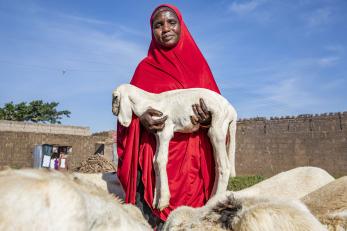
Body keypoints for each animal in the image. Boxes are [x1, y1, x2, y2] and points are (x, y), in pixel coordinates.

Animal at [113, 83, 238, 211]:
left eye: (115, 97)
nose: (113, 111)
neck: (148, 101)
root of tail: (232, 111)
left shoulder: (165, 131)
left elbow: (160, 160)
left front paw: (163, 201)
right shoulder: (157, 133)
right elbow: (155, 161)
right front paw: (156, 200)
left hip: (218, 128)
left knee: (225, 166)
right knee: (218, 165)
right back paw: (211, 199)